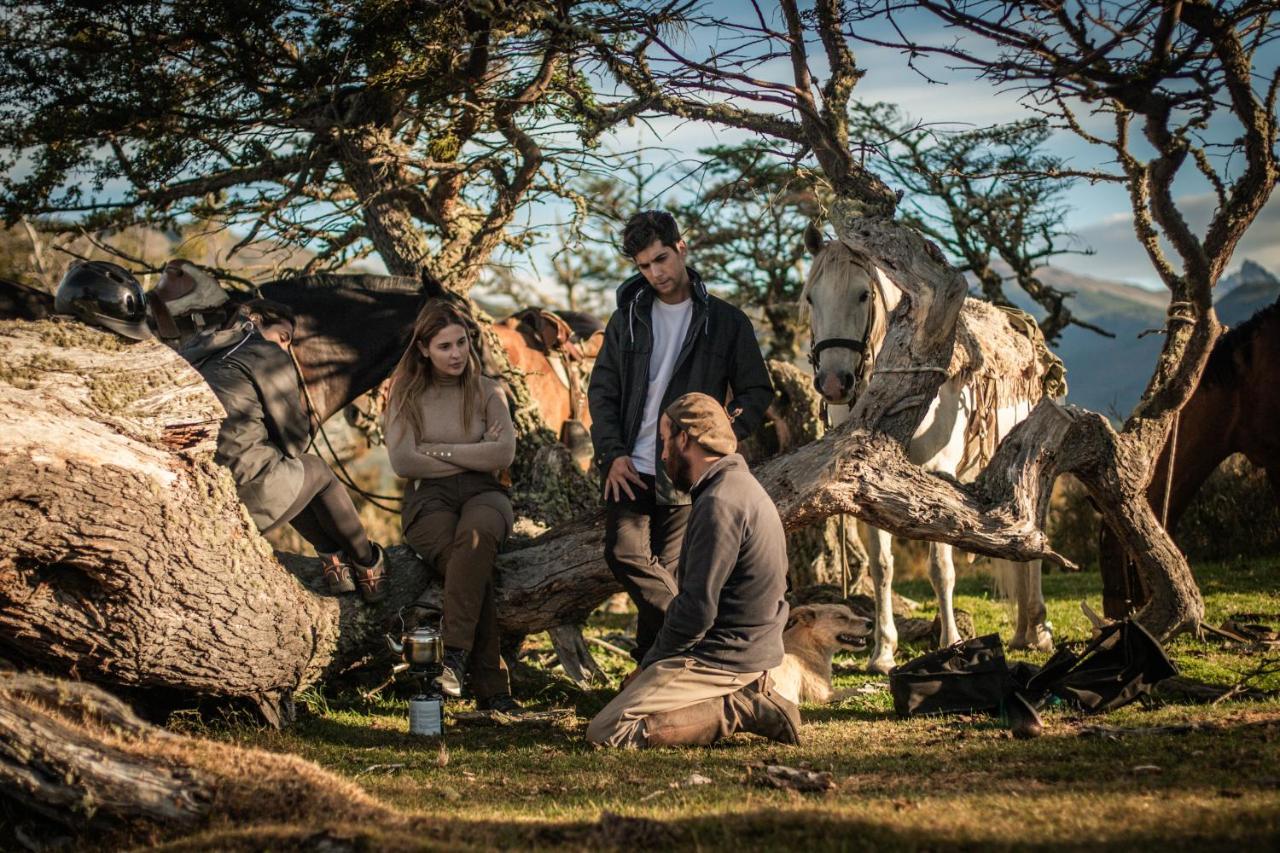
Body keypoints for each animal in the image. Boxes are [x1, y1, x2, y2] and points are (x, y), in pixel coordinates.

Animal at [803, 230, 1054, 671]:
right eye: (811, 298)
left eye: (863, 294)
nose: (834, 383)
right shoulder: (866, 486)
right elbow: (882, 567)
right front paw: (883, 652)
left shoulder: (937, 477)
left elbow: (941, 567)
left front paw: (951, 641)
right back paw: (1023, 630)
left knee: (1034, 543)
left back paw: (1038, 630)